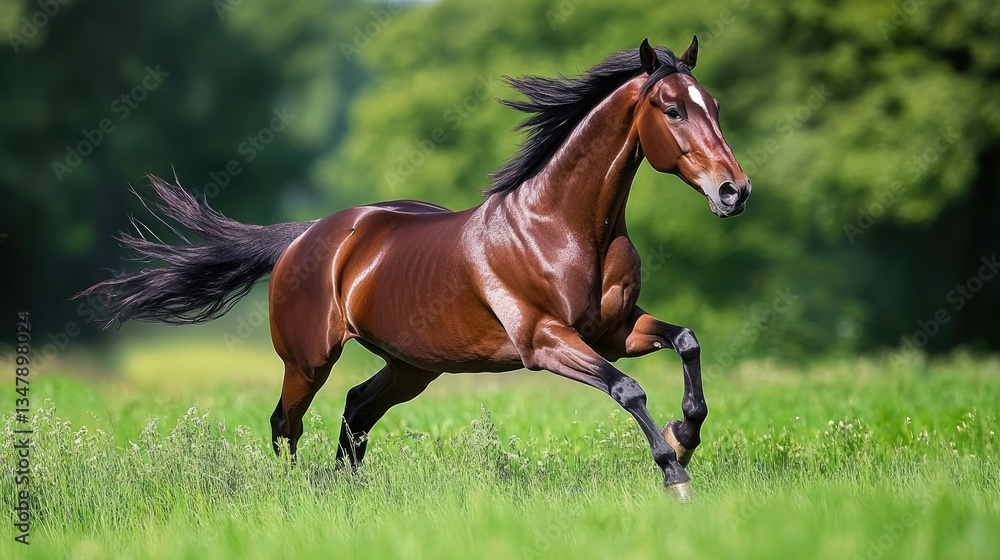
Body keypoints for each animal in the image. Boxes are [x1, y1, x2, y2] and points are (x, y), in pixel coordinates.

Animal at [80, 37, 750, 500]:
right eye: (672, 109)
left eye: (714, 104)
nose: (734, 191)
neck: (561, 226)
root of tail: (307, 236)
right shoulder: (545, 341)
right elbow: (628, 388)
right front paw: (674, 471)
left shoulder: (615, 330)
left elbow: (686, 341)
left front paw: (685, 435)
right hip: (308, 360)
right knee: (286, 422)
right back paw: (295, 493)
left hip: (412, 366)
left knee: (354, 410)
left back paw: (348, 493)